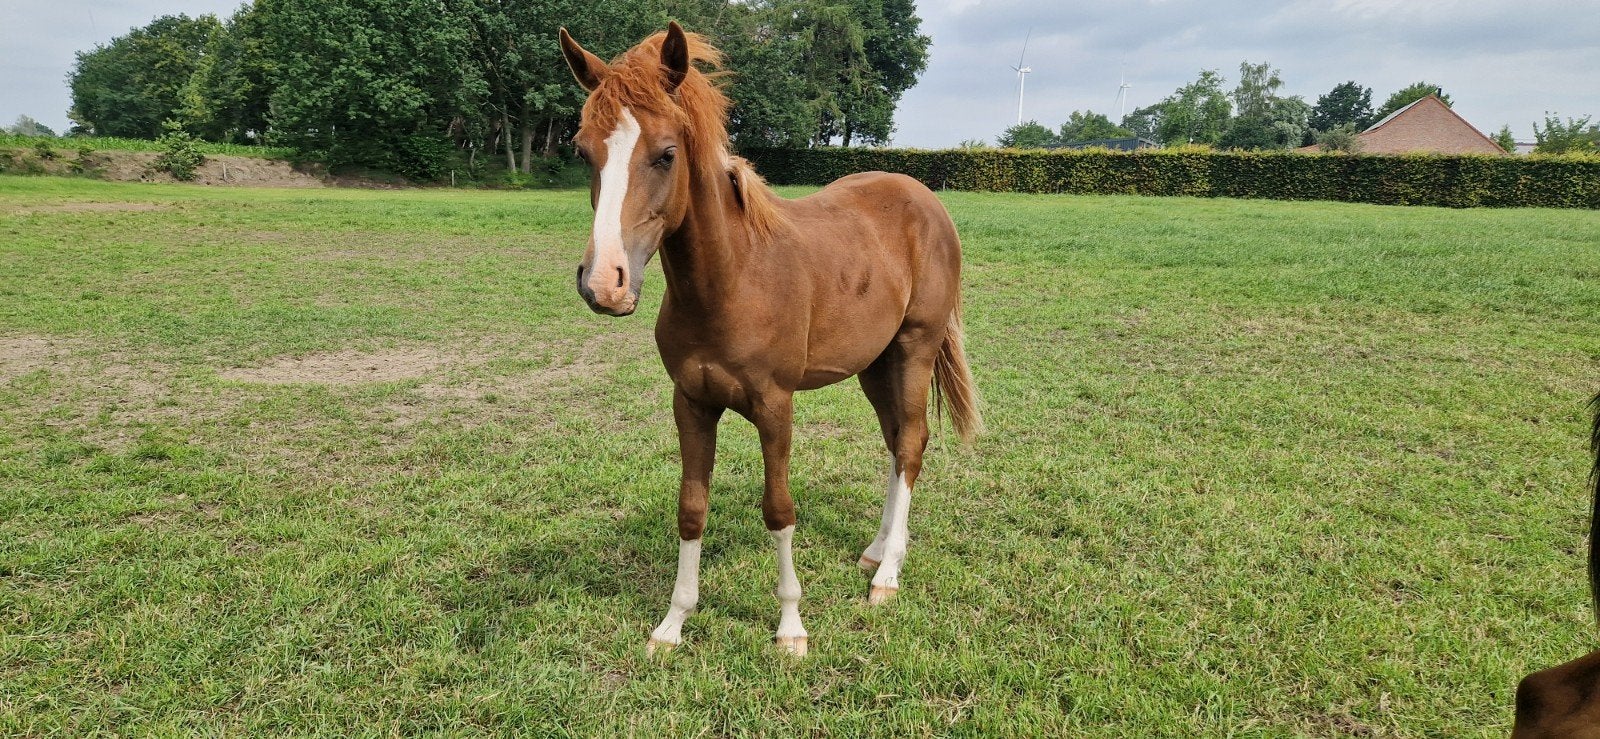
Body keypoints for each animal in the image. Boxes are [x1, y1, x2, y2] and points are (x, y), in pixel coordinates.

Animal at [557, 22, 981, 657]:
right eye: (585, 152)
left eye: (666, 154)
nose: (605, 284)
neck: (732, 282)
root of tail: (924, 197)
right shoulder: (692, 402)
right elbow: (691, 508)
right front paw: (672, 625)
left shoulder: (775, 405)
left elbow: (779, 510)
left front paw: (790, 628)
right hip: (874, 363)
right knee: (895, 443)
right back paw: (875, 551)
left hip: (915, 347)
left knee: (910, 444)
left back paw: (887, 576)